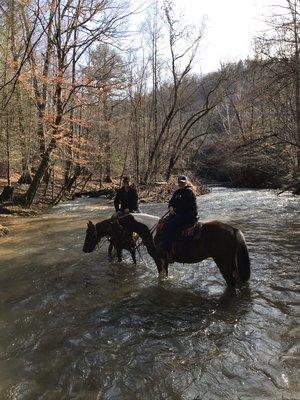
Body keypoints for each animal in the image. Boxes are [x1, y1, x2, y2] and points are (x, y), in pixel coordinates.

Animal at [113, 212, 250, 288]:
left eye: (118, 227)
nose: (117, 244)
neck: (152, 230)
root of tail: (233, 229)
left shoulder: (158, 259)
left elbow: (160, 276)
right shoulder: (165, 260)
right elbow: (165, 275)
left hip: (223, 263)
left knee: (231, 282)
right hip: (232, 264)